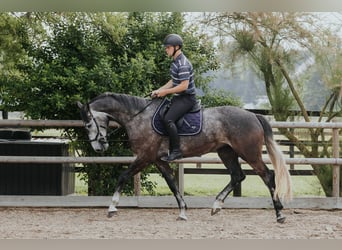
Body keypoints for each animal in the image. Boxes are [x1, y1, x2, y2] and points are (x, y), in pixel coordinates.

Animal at [77, 92, 292, 223]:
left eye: (88, 125)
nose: (99, 147)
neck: (138, 117)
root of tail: (253, 115)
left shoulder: (145, 157)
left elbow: (123, 176)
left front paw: (112, 207)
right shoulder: (158, 160)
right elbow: (172, 184)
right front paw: (182, 211)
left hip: (249, 153)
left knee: (267, 176)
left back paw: (279, 213)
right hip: (226, 152)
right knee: (237, 176)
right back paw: (216, 205)